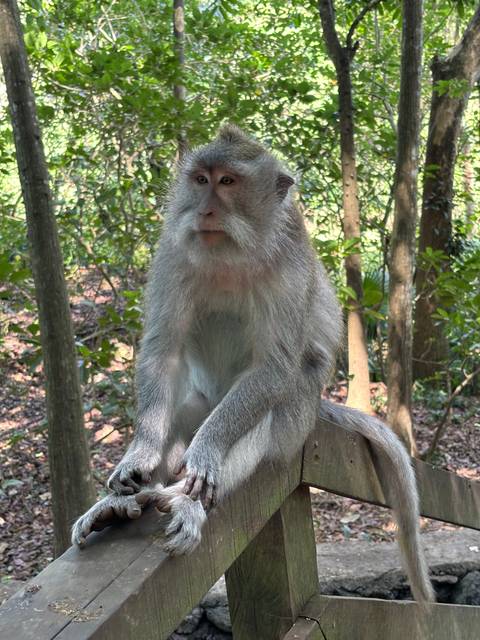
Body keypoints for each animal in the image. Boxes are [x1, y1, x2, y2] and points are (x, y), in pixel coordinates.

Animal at [72, 125, 434, 603]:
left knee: (265, 415)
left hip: (297, 421)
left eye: (228, 182)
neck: (231, 252)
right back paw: (119, 503)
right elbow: (162, 352)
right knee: (184, 410)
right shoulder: (172, 255)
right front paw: (139, 455)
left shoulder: (289, 268)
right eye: (200, 180)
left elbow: (273, 368)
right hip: (204, 403)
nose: (205, 209)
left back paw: (184, 499)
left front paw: (205, 453)